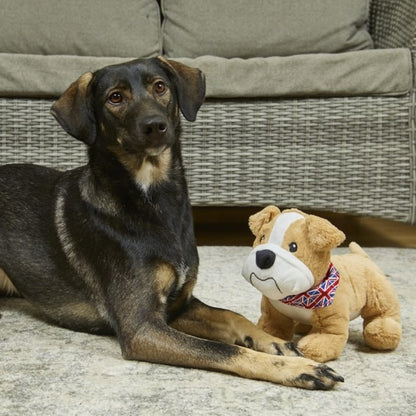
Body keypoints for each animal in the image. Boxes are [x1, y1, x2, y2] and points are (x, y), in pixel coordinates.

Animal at [0, 57, 344, 388]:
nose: (155, 125)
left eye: (160, 87)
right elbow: (222, 349)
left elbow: (232, 316)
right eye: (115, 97)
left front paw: (274, 341)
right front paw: (295, 369)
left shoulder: (179, 305)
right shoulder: (141, 328)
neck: (154, 199)